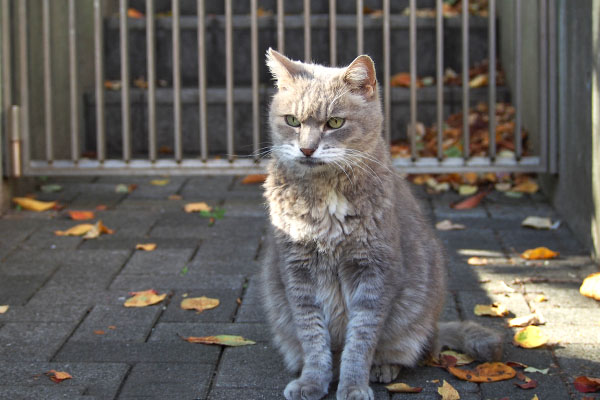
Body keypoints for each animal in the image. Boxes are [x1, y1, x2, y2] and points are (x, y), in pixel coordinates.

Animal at [262, 49, 502, 400]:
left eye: (335, 122)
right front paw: (312, 382)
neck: (324, 196)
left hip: (414, 320)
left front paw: (353, 386)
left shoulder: (374, 272)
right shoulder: (297, 271)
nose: (307, 149)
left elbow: (360, 342)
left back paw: (384, 368)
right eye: (292, 120)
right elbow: (313, 338)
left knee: (412, 349)